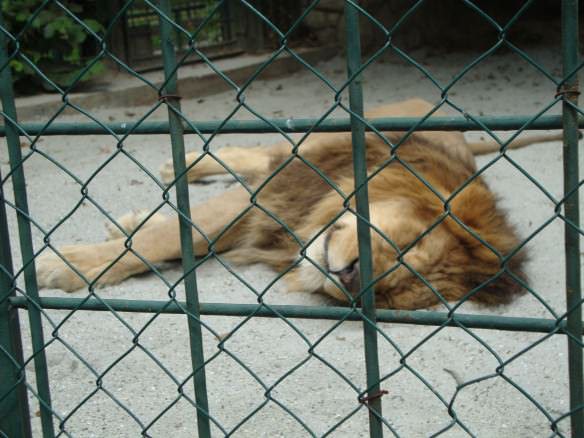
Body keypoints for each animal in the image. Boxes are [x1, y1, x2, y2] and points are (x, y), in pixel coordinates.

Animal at [35, 98, 560, 312]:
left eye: (393, 293)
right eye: (410, 242)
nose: (349, 276)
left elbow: (182, 234)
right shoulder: (278, 189)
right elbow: (177, 232)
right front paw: (65, 265)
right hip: (312, 137)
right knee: (258, 154)